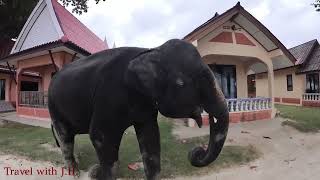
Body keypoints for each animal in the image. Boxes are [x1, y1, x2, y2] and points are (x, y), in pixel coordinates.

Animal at [47, 39, 229, 180]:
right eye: (181, 84)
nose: (196, 152)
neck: (150, 51)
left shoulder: (146, 105)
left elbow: (150, 136)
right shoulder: (108, 96)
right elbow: (100, 136)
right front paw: (98, 173)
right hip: (53, 106)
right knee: (64, 136)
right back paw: (74, 172)